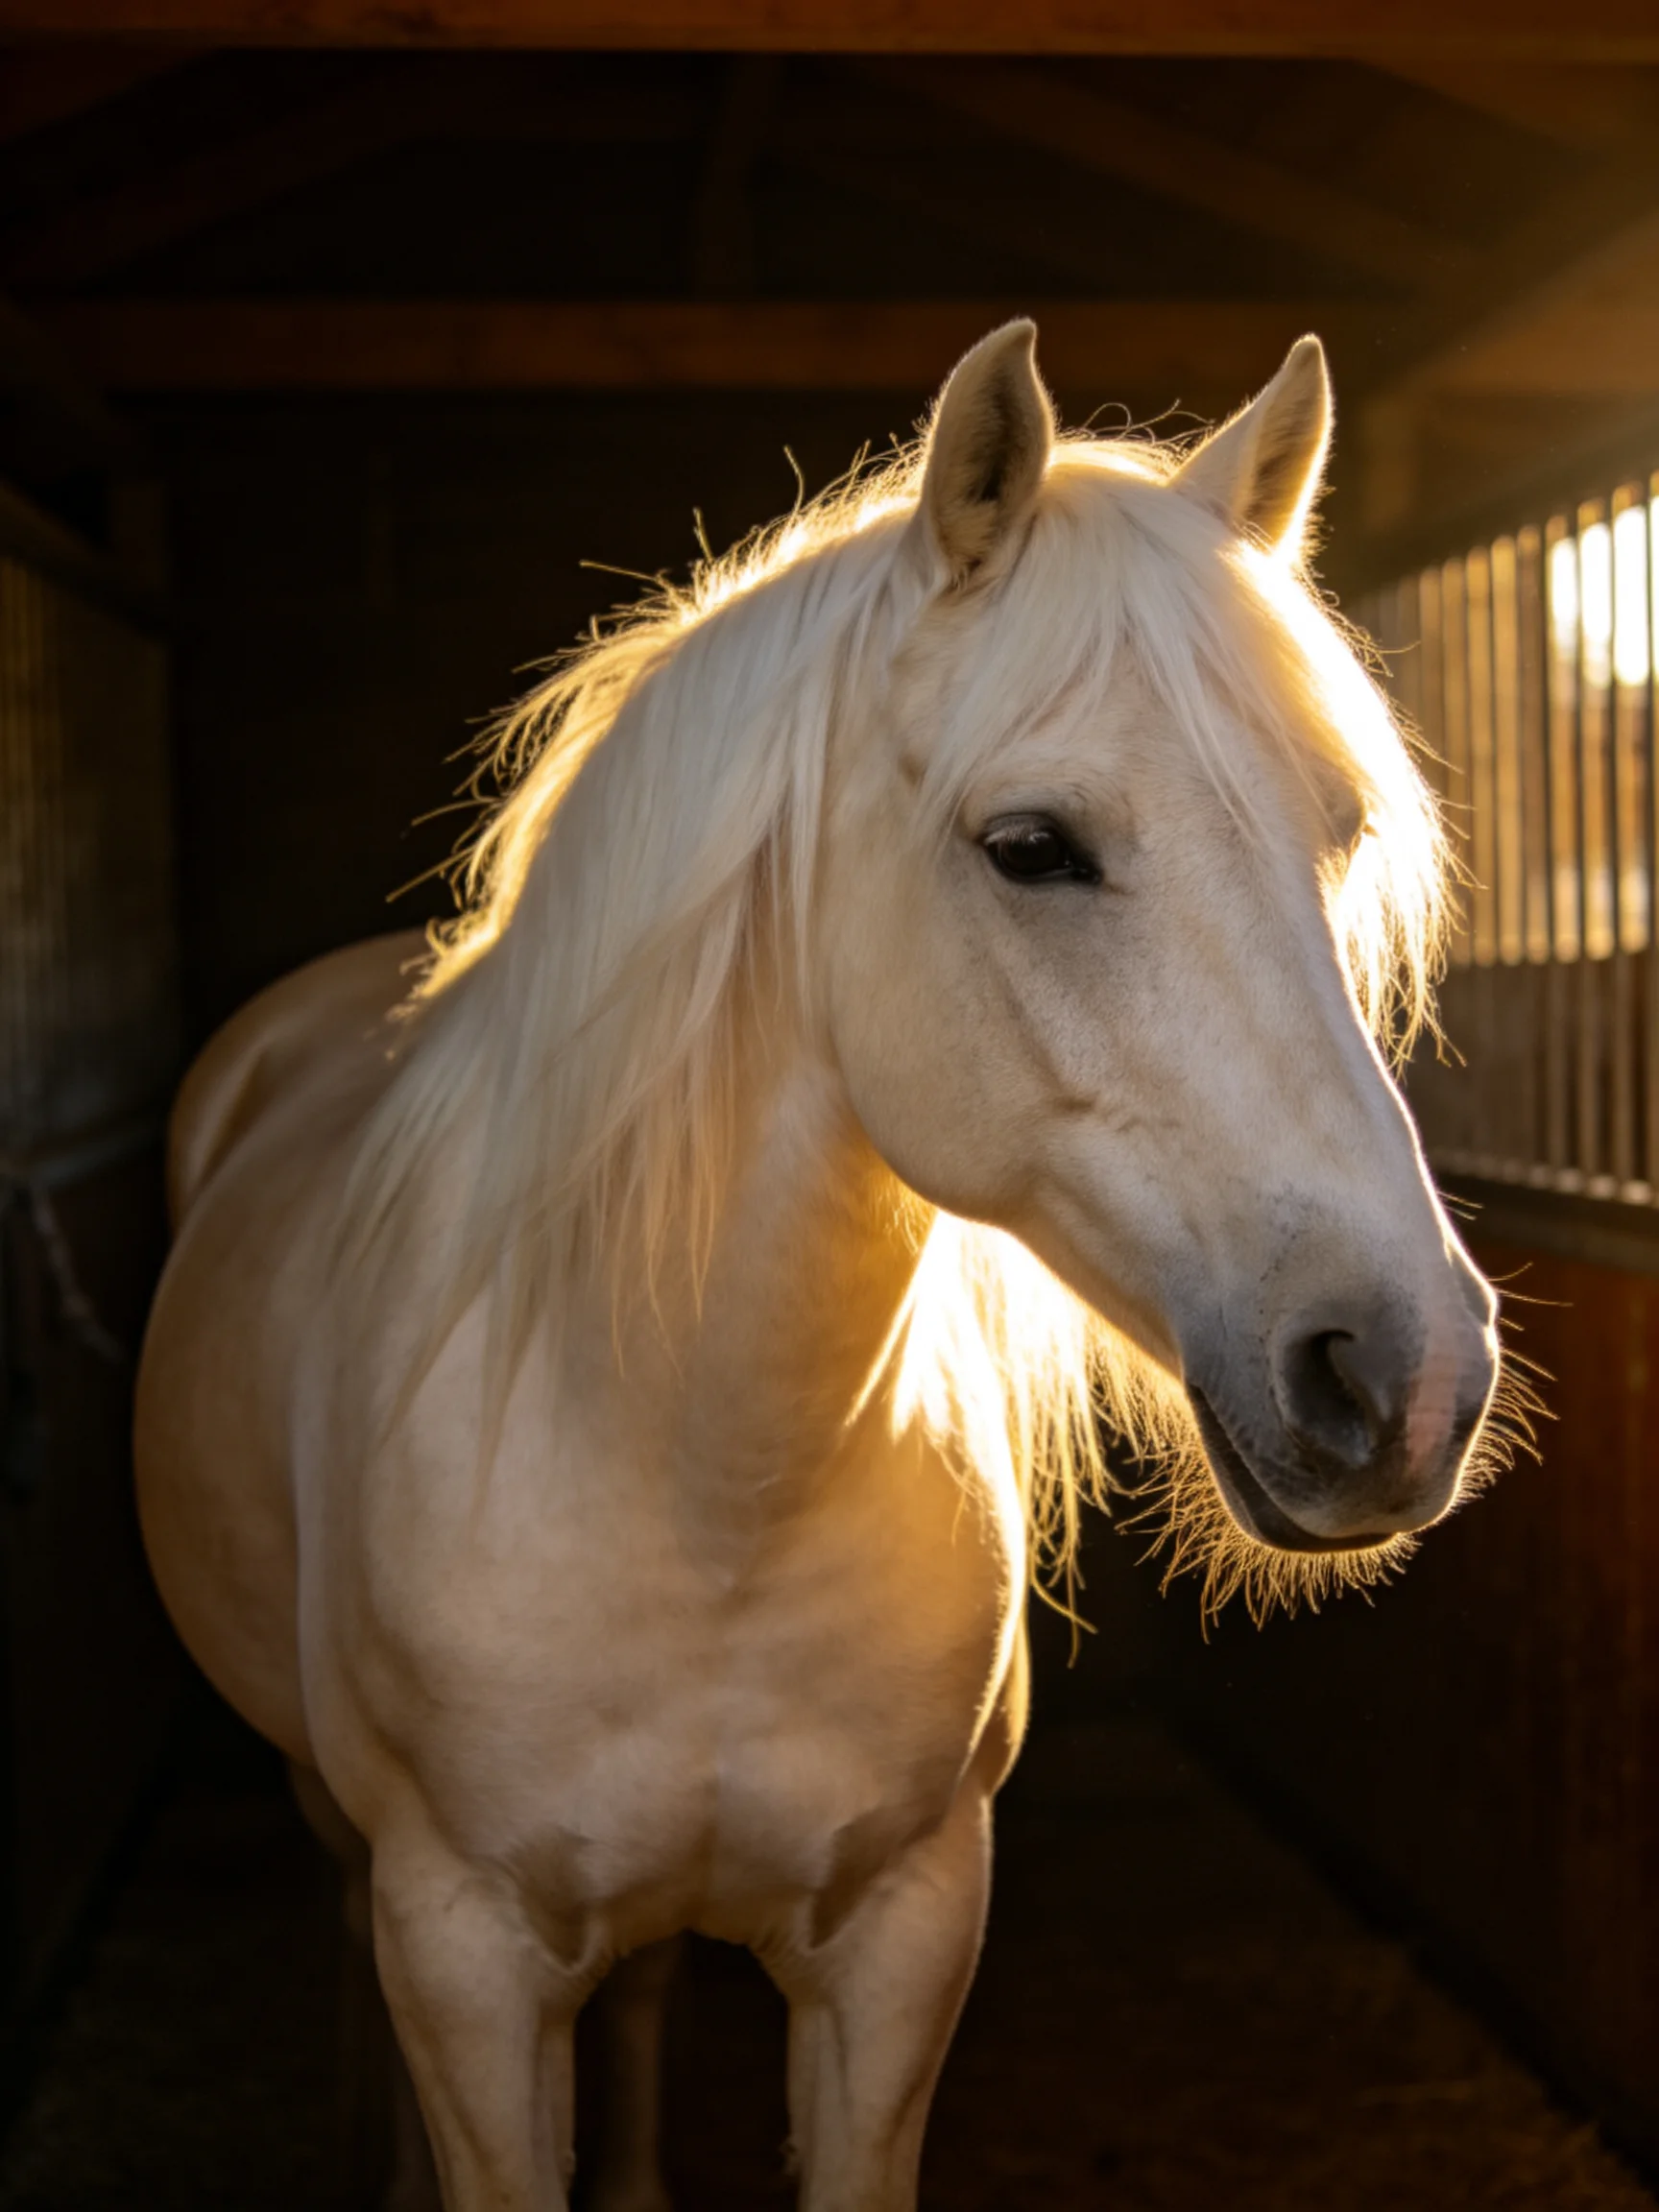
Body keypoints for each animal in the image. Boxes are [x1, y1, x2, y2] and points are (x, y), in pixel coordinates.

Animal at [134, 322, 1501, 2212]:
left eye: (1340, 834)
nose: (1406, 1374)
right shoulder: (461, 1947)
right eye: (1031, 846)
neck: (703, 1479)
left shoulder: (903, 1934)